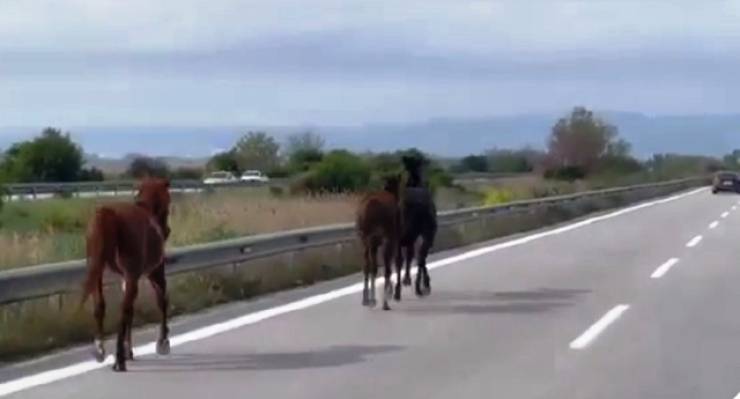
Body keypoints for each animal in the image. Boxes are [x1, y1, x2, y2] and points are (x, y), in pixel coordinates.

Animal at [80, 177, 173, 372]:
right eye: (168, 202)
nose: (167, 231)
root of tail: (107, 214)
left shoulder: (129, 277)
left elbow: (131, 309)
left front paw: (129, 350)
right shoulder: (153, 272)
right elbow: (162, 301)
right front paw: (163, 342)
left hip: (97, 269)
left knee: (101, 305)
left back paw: (101, 350)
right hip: (135, 274)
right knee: (123, 309)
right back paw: (119, 360)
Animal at [356, 176, 402, 312]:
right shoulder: (394, 237)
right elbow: (394, 263)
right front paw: (394, 292)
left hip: (365, 240)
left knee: (367, 266)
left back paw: (367, 299)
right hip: (381, 238)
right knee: (382, 267)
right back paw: (383, 302)